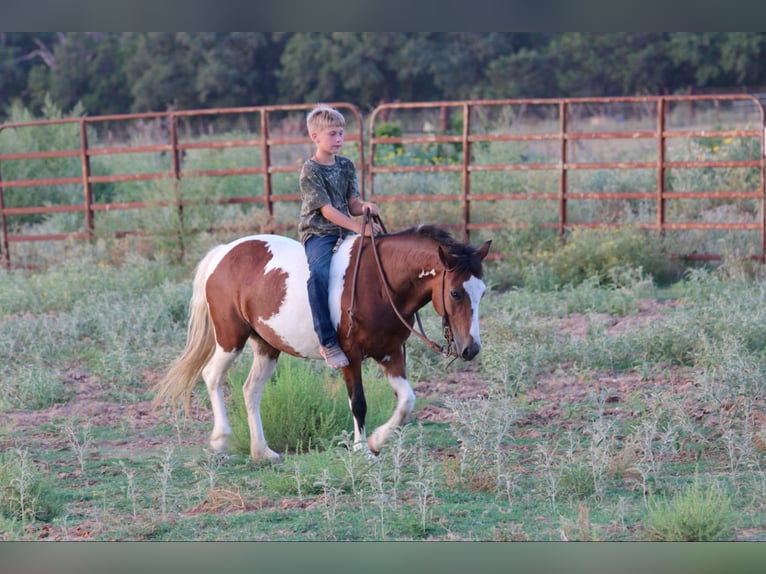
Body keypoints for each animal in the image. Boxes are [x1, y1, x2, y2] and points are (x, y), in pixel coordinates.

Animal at [153, 224, 491, 462]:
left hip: (266, 346)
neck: (380, 283)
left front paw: (376, 440)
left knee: (251, 390)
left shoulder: (390, 354)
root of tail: (224, 253)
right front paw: (362, 450)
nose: (471, 349)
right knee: (212, 376)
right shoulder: (350, 356)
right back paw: (220, 439)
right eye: (455, 293)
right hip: (230, 337)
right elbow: (359, 403)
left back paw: (262, 451)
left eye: (483, 292)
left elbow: (407, 401)